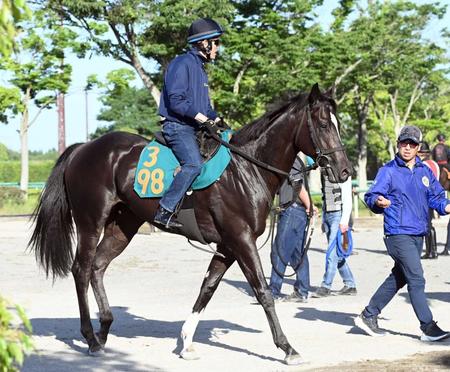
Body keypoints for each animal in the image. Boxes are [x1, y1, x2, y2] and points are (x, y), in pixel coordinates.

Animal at [29, 83, 352, 364]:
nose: (344, 171)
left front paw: (186, 343)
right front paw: (287, 348)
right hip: (90, 222)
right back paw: (90, 337)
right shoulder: (241, 239)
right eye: (324, 125)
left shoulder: (227, 246)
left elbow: (207, 288)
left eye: (338, 124)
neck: (246, 169)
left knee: (97, 267)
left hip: (123, 226)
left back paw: (104, 328)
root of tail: (83, 148)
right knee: (81, 270)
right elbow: (263, 291)